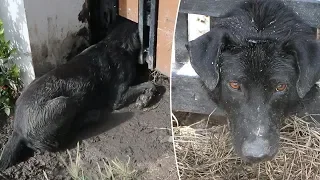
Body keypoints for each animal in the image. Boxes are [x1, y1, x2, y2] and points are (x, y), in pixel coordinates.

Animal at [0, 17, 156, 171]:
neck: (116, 41)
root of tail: (17, 130)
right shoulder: (119, 95)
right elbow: (151, 84)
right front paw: (145, 98)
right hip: (64, 103)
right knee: (61, 140)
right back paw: (92, 115)